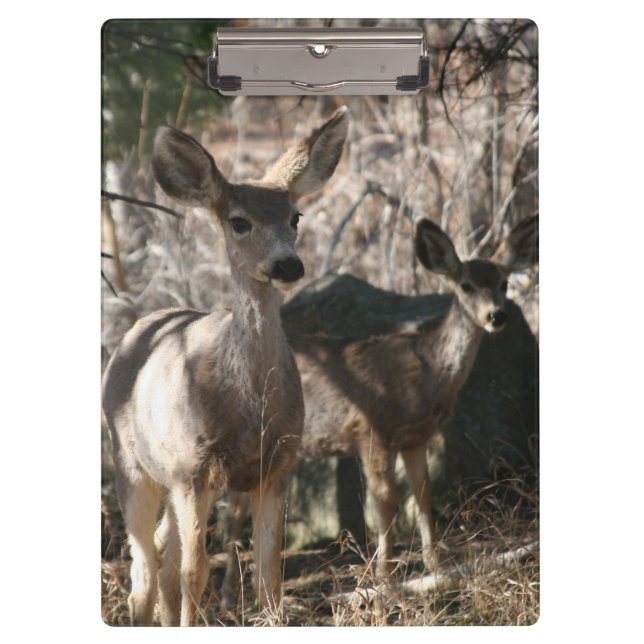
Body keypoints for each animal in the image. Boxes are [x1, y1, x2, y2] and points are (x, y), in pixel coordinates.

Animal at [101, 106, 349, 626]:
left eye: (295, 216)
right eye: (239, 222)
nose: (288, 265)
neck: (248, 405)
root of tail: (140, 324)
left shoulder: (277, 465)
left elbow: (268, 575)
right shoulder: (192, 468)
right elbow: (194, 575)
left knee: (162, 560)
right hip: (132, 463)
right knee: (146, 571)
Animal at [222, 214, 538, 605]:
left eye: (504, 283)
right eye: (465, 285)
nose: (497, 316)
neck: (426, 376)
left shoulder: (415, 438)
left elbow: (423, 494)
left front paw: (435, 568)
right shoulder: (371, 429)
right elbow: (385, 502)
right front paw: (385, 580)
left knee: (238, 505)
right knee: (232, 510)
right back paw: (230, 597)